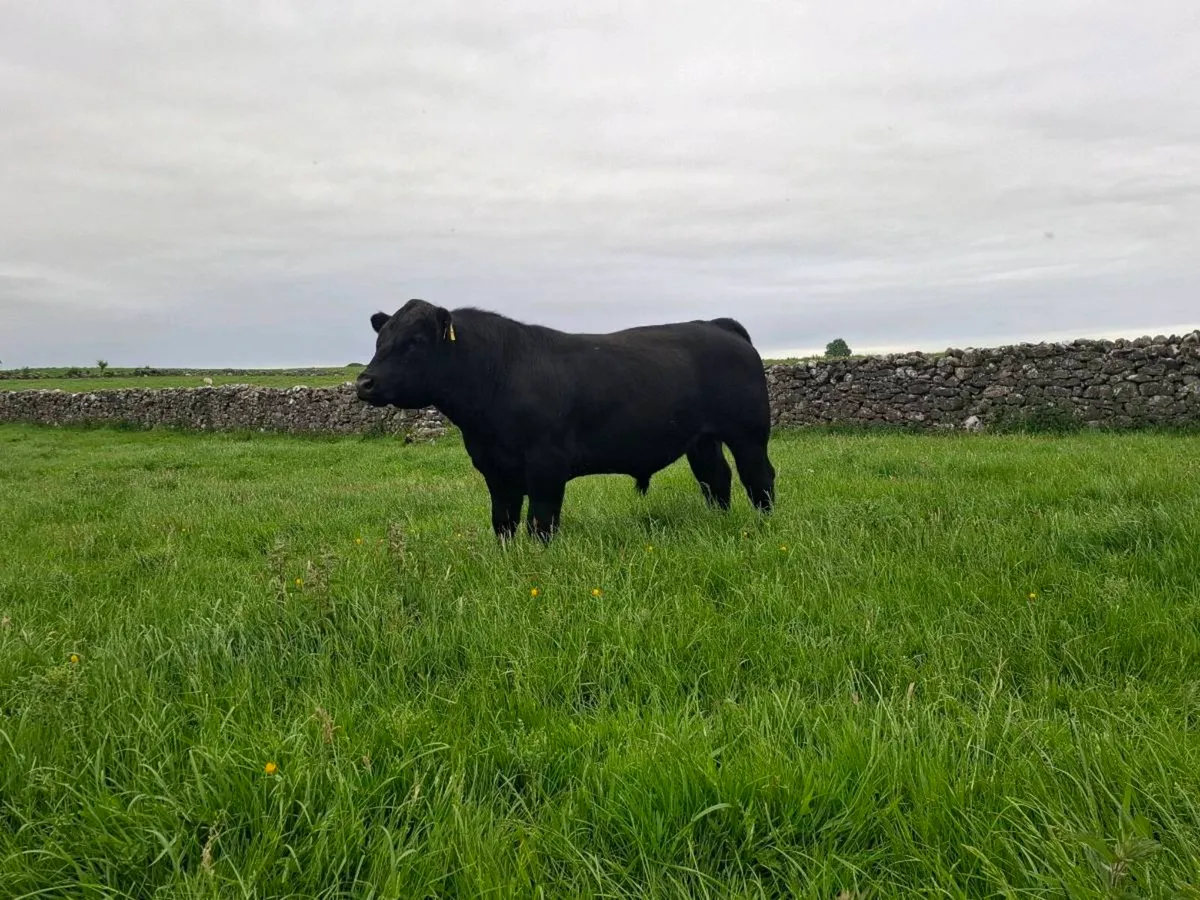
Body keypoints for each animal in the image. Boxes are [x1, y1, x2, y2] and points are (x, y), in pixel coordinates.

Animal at [355, 299, 776, 543]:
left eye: (415, 342)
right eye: (380, 341)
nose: (364, 382)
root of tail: (716, 324)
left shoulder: (547, 465)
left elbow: (540, 522)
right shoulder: (495, 468)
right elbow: (503, 521)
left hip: (748, 434)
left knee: (759, 478)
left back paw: (765, 526)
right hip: (702, 439)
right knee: (716, 479)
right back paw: (718, 523)